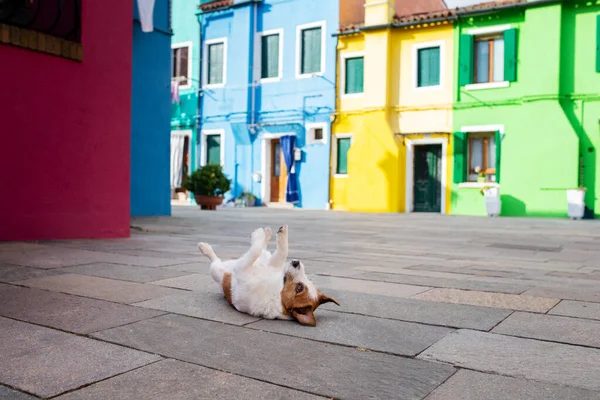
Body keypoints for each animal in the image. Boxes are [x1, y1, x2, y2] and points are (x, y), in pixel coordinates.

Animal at [197, 223, 338, 326]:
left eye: (299, 288)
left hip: (216, 270)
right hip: (266, 259)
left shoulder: (242, 268)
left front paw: (258, 235)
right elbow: (282, 251)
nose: (296, 262)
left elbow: (255, 250)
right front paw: (279, 234)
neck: (277, 290)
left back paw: (205, 248)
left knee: (216, 260)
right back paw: (267, 234)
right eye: (310, 281)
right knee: (266, 252)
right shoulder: (273, 265)